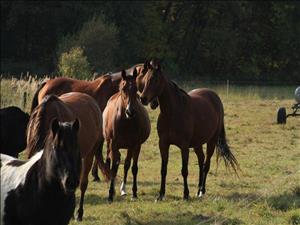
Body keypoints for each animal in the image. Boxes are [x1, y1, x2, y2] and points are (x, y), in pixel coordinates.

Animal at [102, 69, 150, 202]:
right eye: (123, 88)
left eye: (136, 88)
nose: (130, 111)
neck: (126, 121)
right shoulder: (113, 144)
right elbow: (113, 169)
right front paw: (110, 194)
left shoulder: (136, 145)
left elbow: (133, 167)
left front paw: (134, 193)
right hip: (109, 144)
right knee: (110, 162)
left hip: (129, 147)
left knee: (126, 164)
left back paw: (123, 189)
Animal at [139, 60, 239, 200]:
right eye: (144, 79)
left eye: (156, 79)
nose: (143, 99)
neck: (173, 113)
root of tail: (215, 97)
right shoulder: (163, 144)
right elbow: (163, 170)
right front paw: (161, 194)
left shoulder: (184, 146)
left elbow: (184, 170)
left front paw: (186, 194)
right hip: (197, 143)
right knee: (201, 161)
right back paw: (197, 190)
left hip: (212, 141)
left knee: (206, 164)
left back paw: (201, 190)